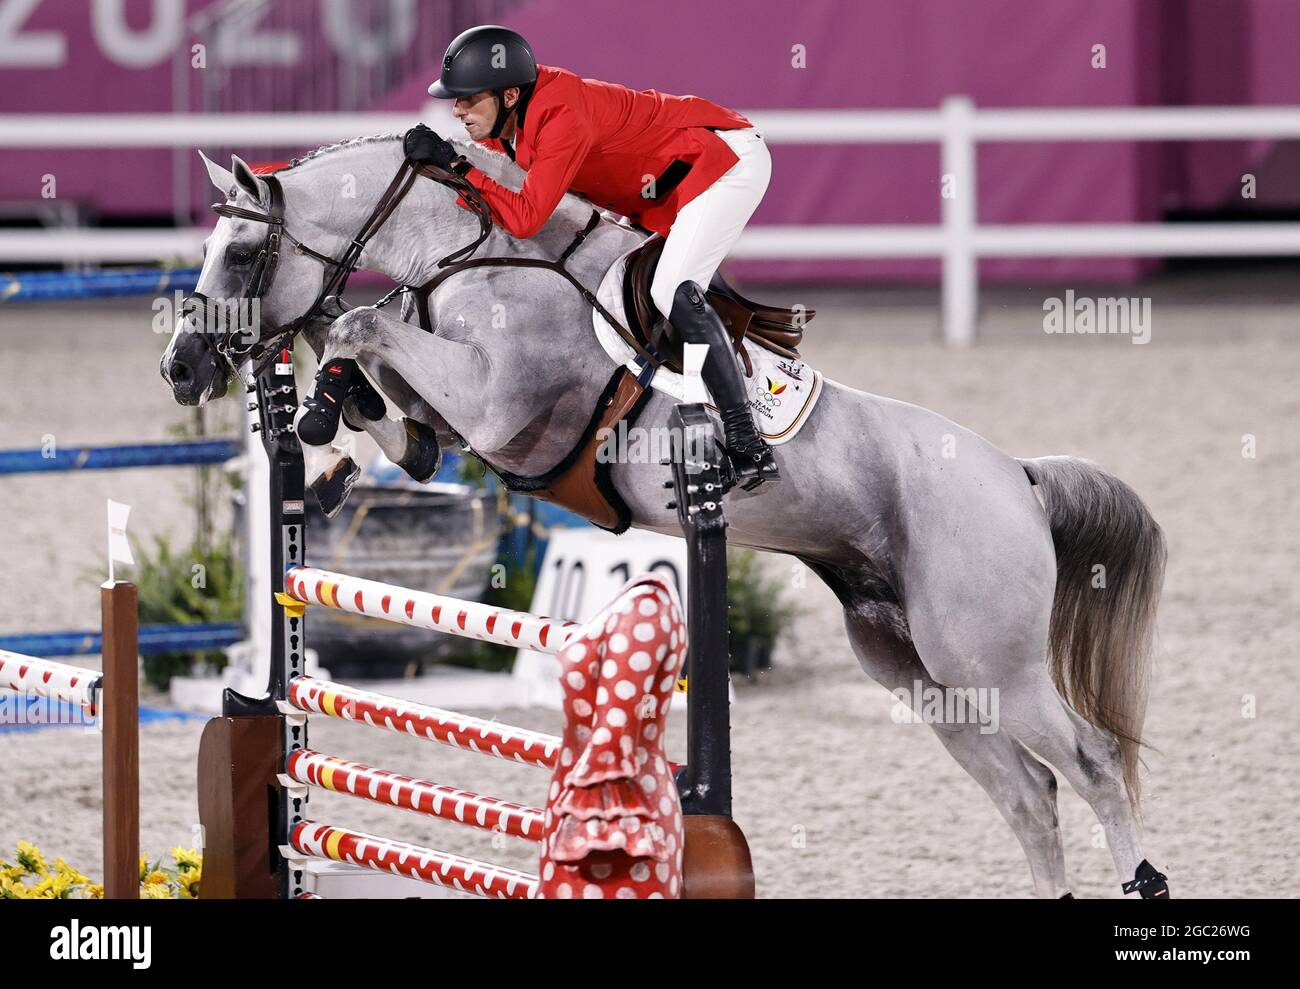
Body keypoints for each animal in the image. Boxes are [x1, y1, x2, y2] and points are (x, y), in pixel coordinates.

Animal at [161, 134, 1169, 899]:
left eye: (241, 255)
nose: (180, 367)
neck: (474, 258)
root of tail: (1020, 478)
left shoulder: (499, 411)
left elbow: (361, 324)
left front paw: (320, 412)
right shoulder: (459, 416)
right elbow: (385, 392)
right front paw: (326, 438)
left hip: (985, 656)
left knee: (1088, 763)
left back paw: (1144, 883)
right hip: (922, 671)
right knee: (1029, 794)